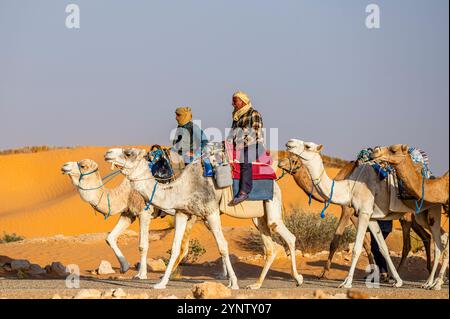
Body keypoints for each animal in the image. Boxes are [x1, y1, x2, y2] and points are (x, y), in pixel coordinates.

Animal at [103, 148, 304, 290]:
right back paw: (256, 285)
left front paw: (234, 283)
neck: (182, 187)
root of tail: (275, 179)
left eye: (128, 153)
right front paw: (160, 283)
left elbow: (222, 246)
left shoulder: (211, 211)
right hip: (258, 217)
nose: (107, 153)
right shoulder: (182, 212)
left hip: (272, 204)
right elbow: (175, 248)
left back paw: (298, 279)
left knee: (287, 235)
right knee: (270, 247)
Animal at [286, 139, 444, 290]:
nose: (289, 142)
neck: (348, 187)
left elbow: (355, 247)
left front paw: (345, 282)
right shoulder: (371, 217)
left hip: (428, 212)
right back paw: (430, 280)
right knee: (437, 238)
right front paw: (398, 281)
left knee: (433, 242)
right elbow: (382, 248)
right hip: (421, 216)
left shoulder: (361, 212)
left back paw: (432, 283)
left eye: (307, 146)